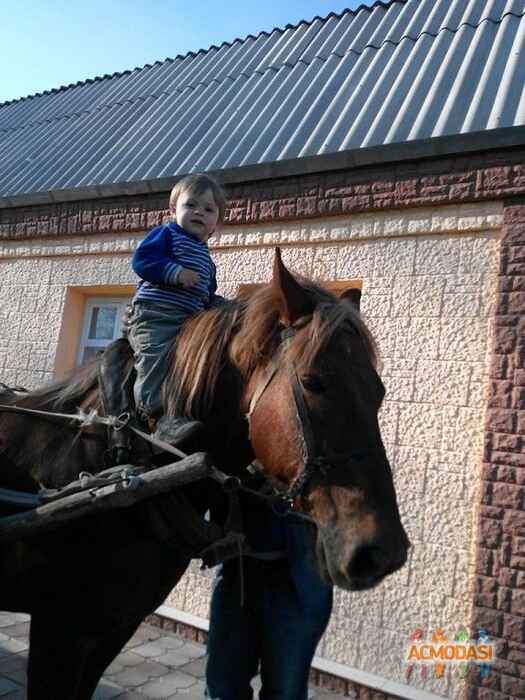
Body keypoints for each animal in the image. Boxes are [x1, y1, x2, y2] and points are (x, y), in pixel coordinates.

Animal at [0, 252, 406, 700]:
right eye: (313, 382)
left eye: (379, 391)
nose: (381, 550)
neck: (125, 451)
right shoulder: (61, 629)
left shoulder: (113, 628)